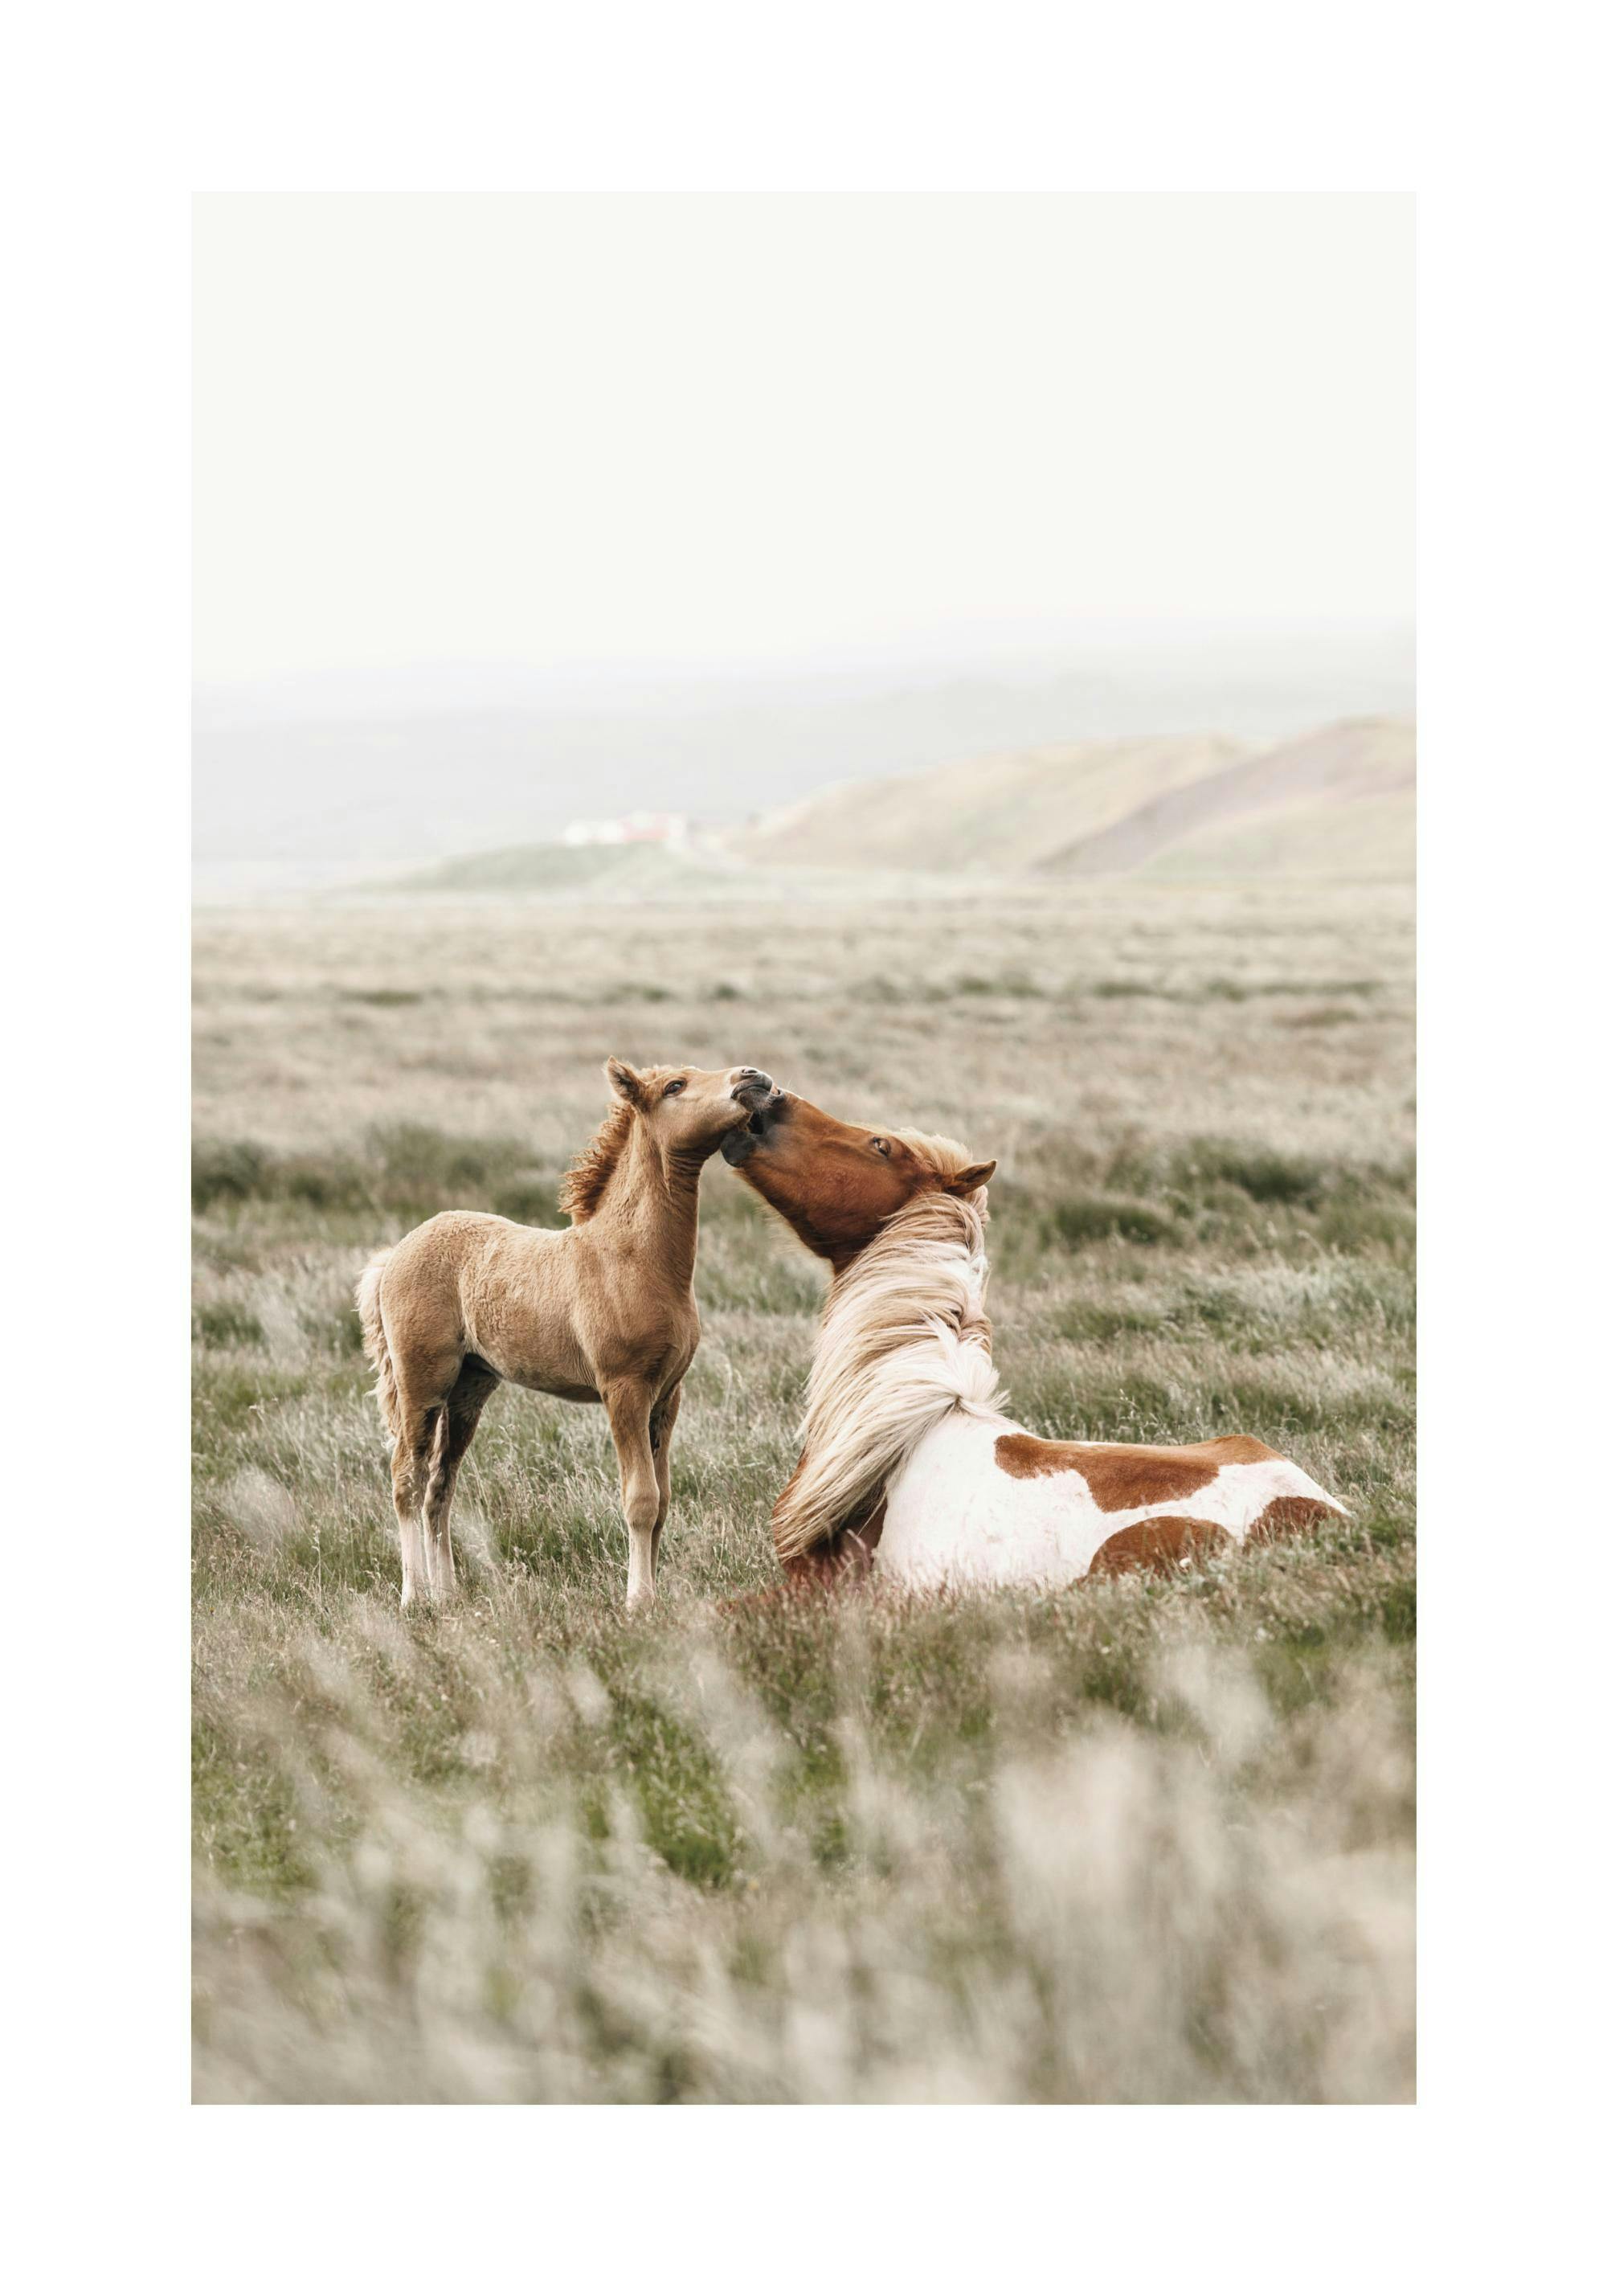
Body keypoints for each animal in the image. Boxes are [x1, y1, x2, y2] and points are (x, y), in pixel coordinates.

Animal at [357, 1059, 780, 1610]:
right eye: (675, 1086)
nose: (753, 1077)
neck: (635, 1260)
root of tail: (395, 1255)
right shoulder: (624, 1390)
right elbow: (641, 1499)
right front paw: (638, 1601)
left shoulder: (668, 1395)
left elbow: (664, 1501)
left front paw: (655, 1595)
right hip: (422, 1382)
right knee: (406, 1478)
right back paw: (415, 1596)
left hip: (470, 1389)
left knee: (439, 1487)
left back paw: (449, 1595)